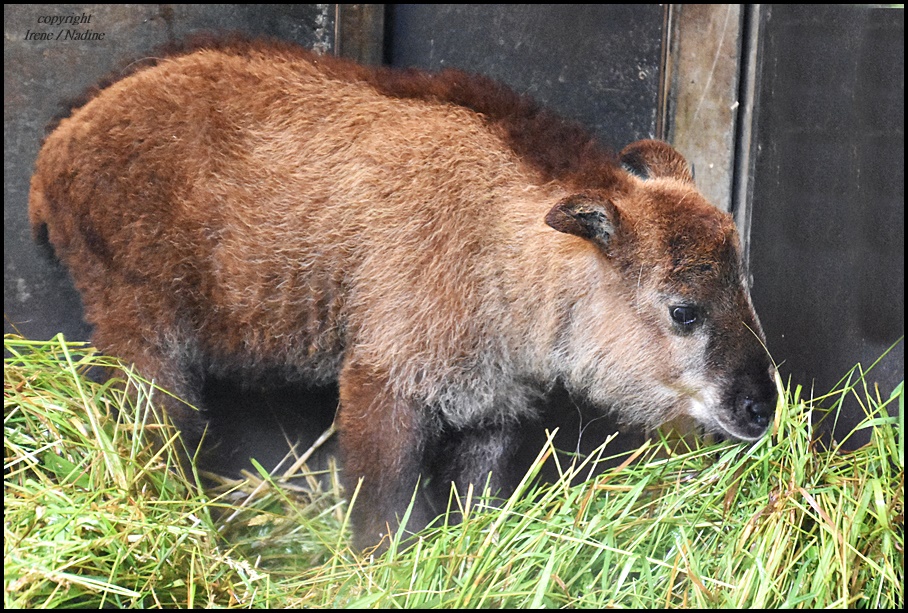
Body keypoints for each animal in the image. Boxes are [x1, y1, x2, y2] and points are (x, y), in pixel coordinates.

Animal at [31, 38, 776, 548]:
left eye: (744, 288)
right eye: (683, 310)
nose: (759, 407)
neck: (504, 244)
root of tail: (57, 151)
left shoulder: (493, 409)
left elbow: (477, 504)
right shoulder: (383, 386)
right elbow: (385, 513)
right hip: (144, 338)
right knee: (149, 435)